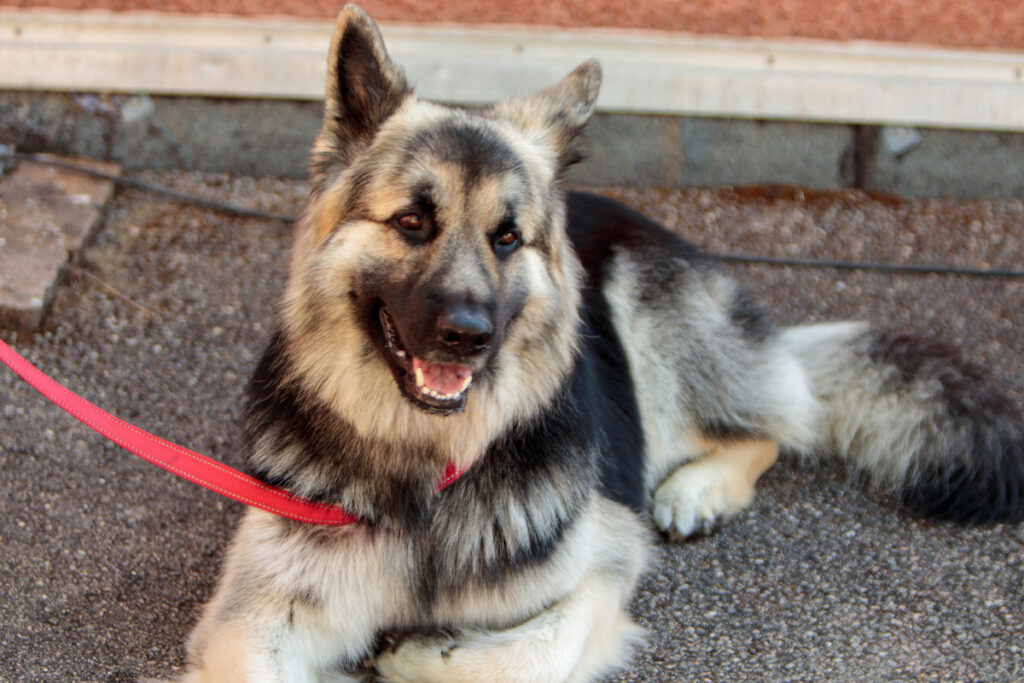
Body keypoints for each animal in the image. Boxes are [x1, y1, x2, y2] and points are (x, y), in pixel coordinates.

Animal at [180, 5, 1024, 681]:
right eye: (412, 221)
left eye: (508, 237)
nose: (468, 335)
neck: (430, 471)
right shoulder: (253, 616)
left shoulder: (602, 569)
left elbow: (517, 654)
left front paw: (416, 649)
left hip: (647, 312)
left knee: (776, 420)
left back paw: (696, 489)